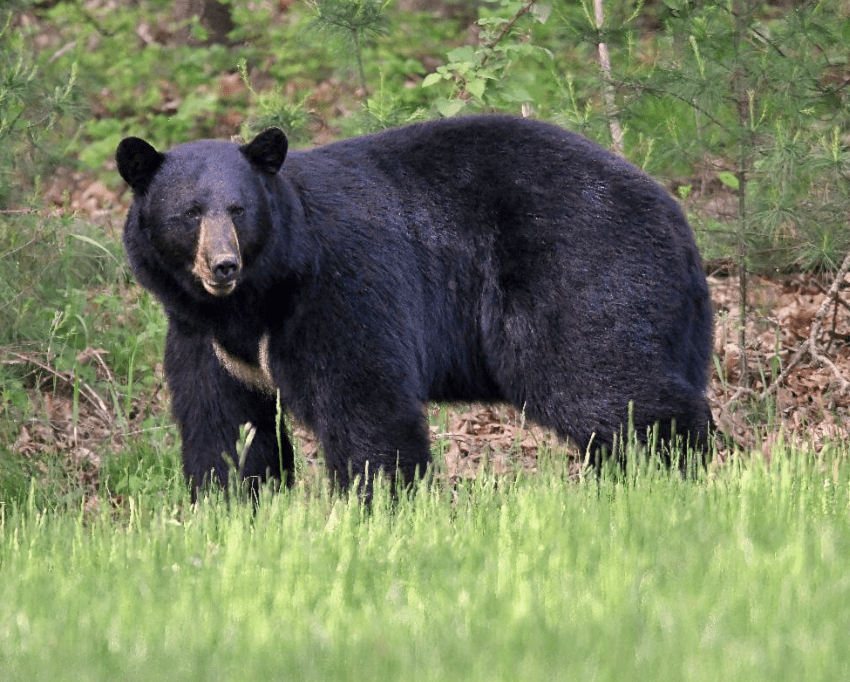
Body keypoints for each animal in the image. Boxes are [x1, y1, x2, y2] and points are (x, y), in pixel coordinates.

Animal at [115, 115, 714, 497]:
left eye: (238, 210)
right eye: (190, 213)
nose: (223, 266)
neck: (255, 300)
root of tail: (677, 220)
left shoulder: (338, 288)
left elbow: (365, 401)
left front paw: (383, 503)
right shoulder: (200, 336)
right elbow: (225, 424)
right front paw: (228, 507)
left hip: (580, 268)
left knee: (597, 378)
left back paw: (676, 473)